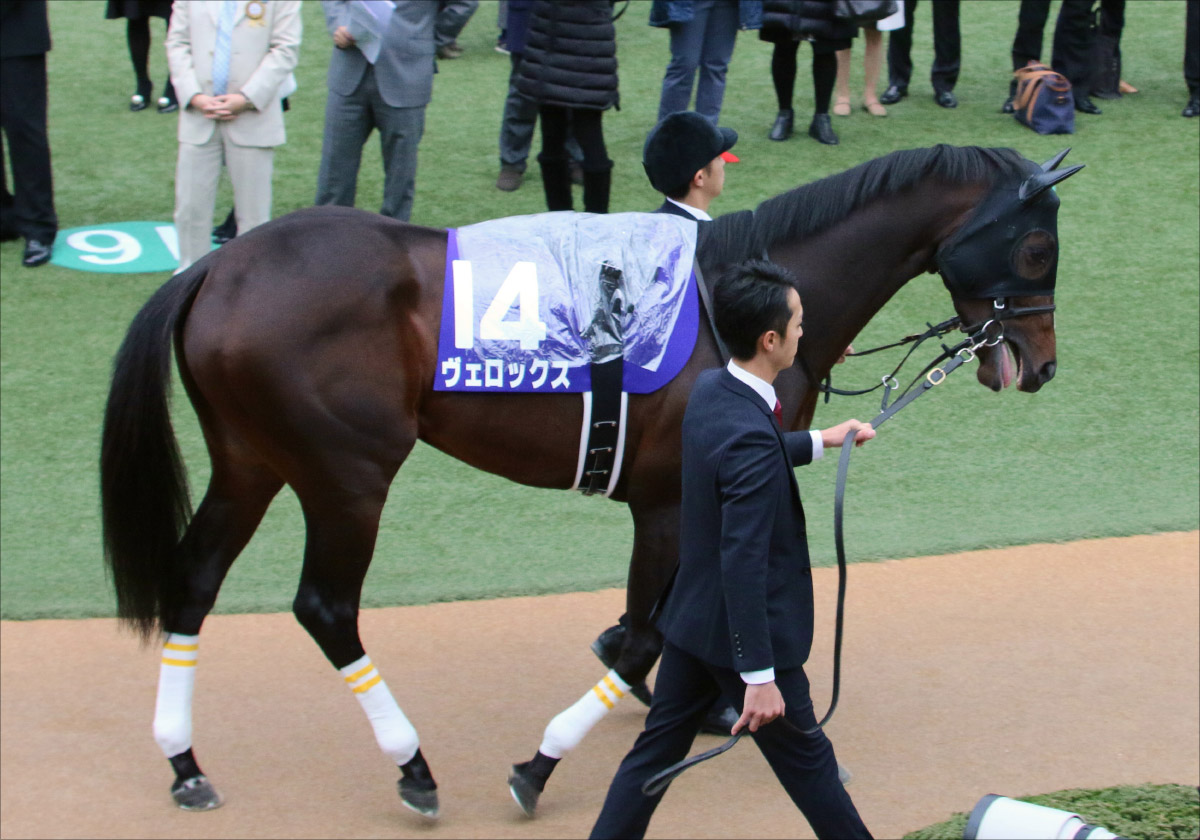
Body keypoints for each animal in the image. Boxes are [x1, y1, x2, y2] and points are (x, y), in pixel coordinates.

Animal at [100, 144, 1080, 816]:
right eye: (1037, 249)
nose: (1039, 366)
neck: (733, 302)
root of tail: (217, 265)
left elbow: (675, 624)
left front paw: (707, 699)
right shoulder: (667, 499)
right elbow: (648, 633)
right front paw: (544, 761)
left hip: (252, 458)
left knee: (194, 579)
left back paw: (184, 761)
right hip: (347, 476)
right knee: (325, 608)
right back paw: (412, 764)